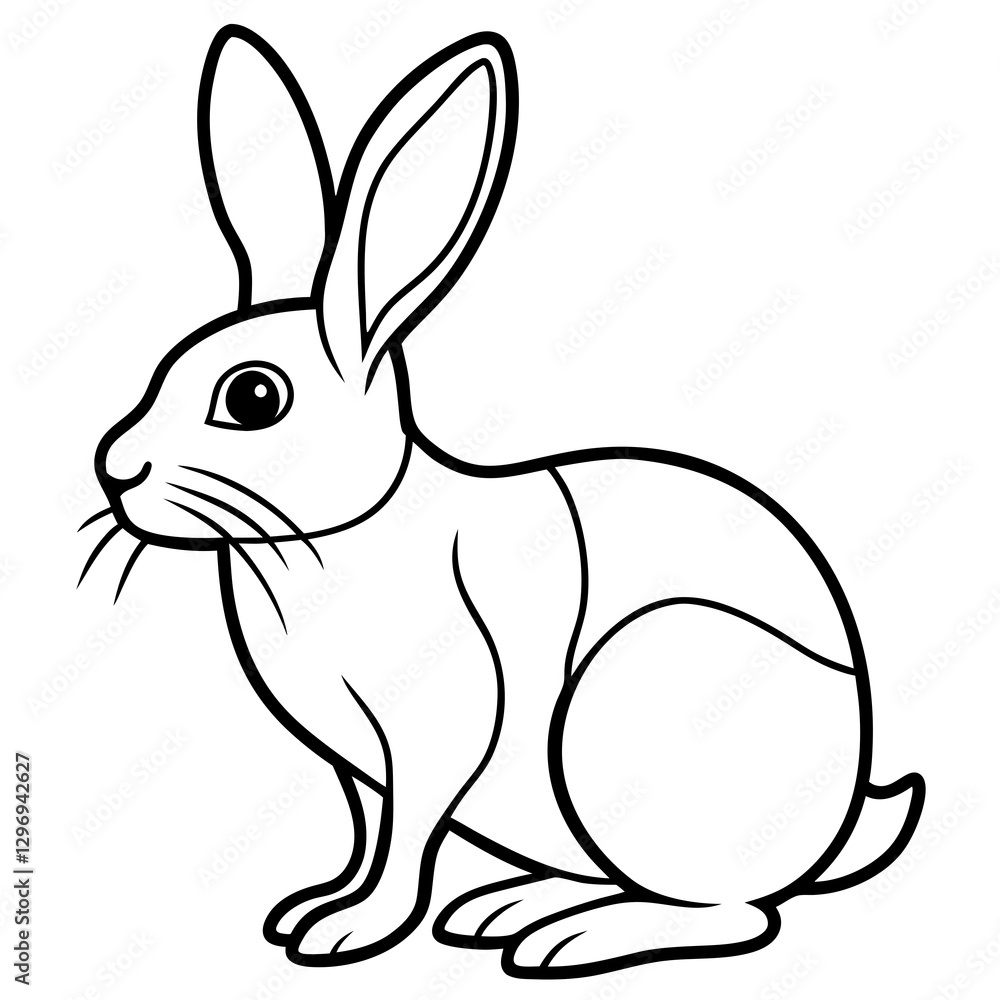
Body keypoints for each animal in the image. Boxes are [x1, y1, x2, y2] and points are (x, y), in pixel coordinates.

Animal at [85, 25, 925, 978]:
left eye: (254, 398)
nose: (113, 467)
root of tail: (839, 822)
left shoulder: (433, 737)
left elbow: (407, 840)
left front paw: (351, 931)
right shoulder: (357, 766)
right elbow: (368, 833)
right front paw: (314, 908)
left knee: (735, 915)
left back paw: (570, 938)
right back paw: (510, 908)